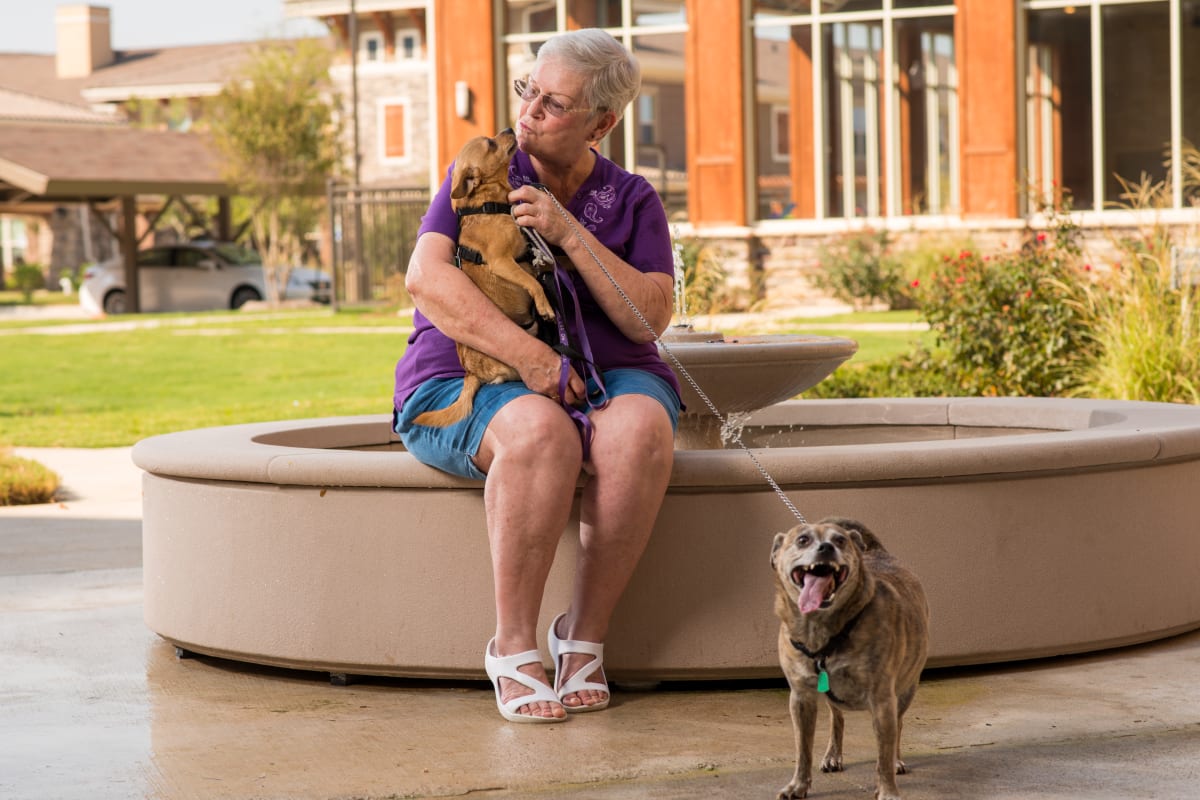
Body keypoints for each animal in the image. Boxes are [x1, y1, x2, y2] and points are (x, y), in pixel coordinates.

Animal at [412, 130, 556, 431]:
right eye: (490, 144)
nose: (509, 129)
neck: (489, 205)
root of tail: (472, 374)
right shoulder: (502, 262)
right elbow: (533, 283)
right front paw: (545, 305)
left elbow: (537, 271)